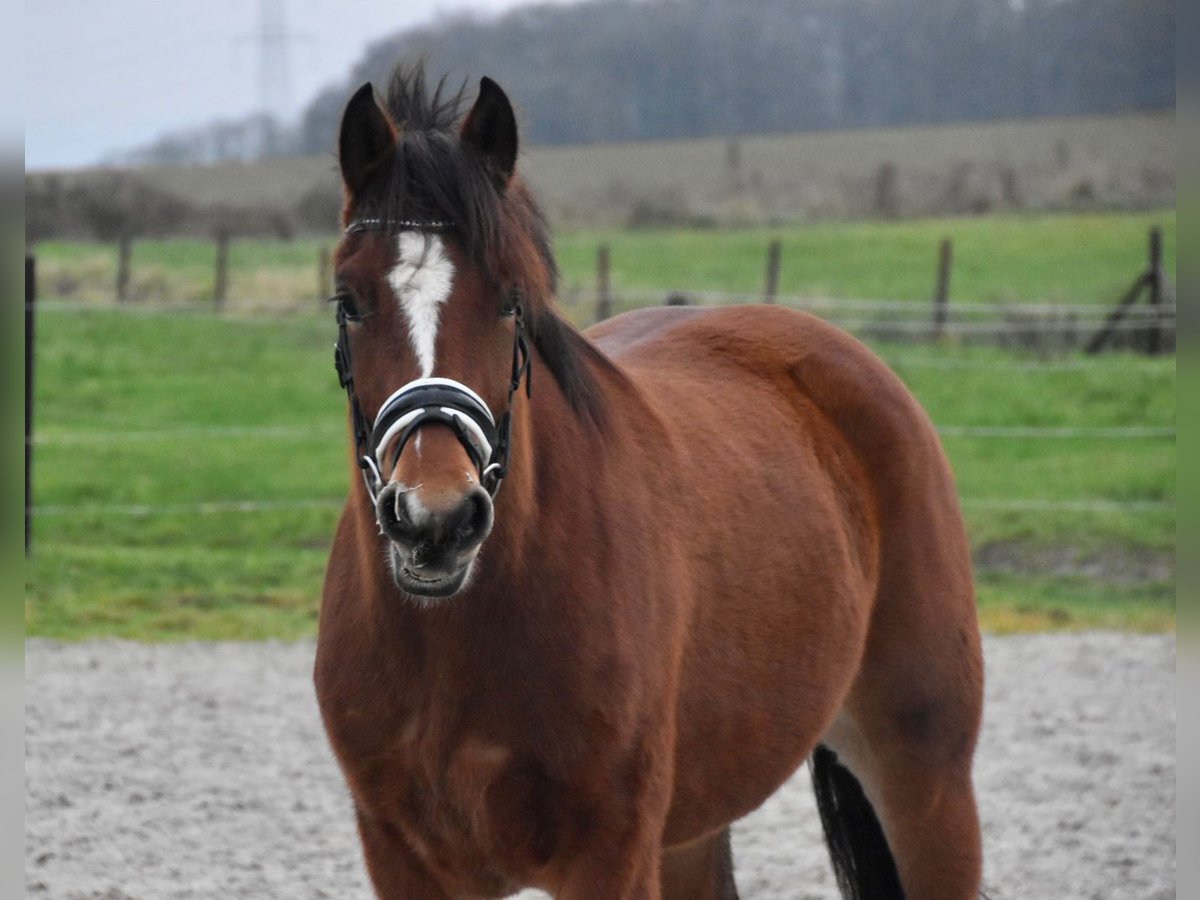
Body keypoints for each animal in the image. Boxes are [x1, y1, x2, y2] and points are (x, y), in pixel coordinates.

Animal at [319, 68, 984, 900]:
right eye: (349, 300)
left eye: (510, 298)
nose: (435, 520)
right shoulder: (405, 860)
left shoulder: (610, 853)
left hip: (927, 778)